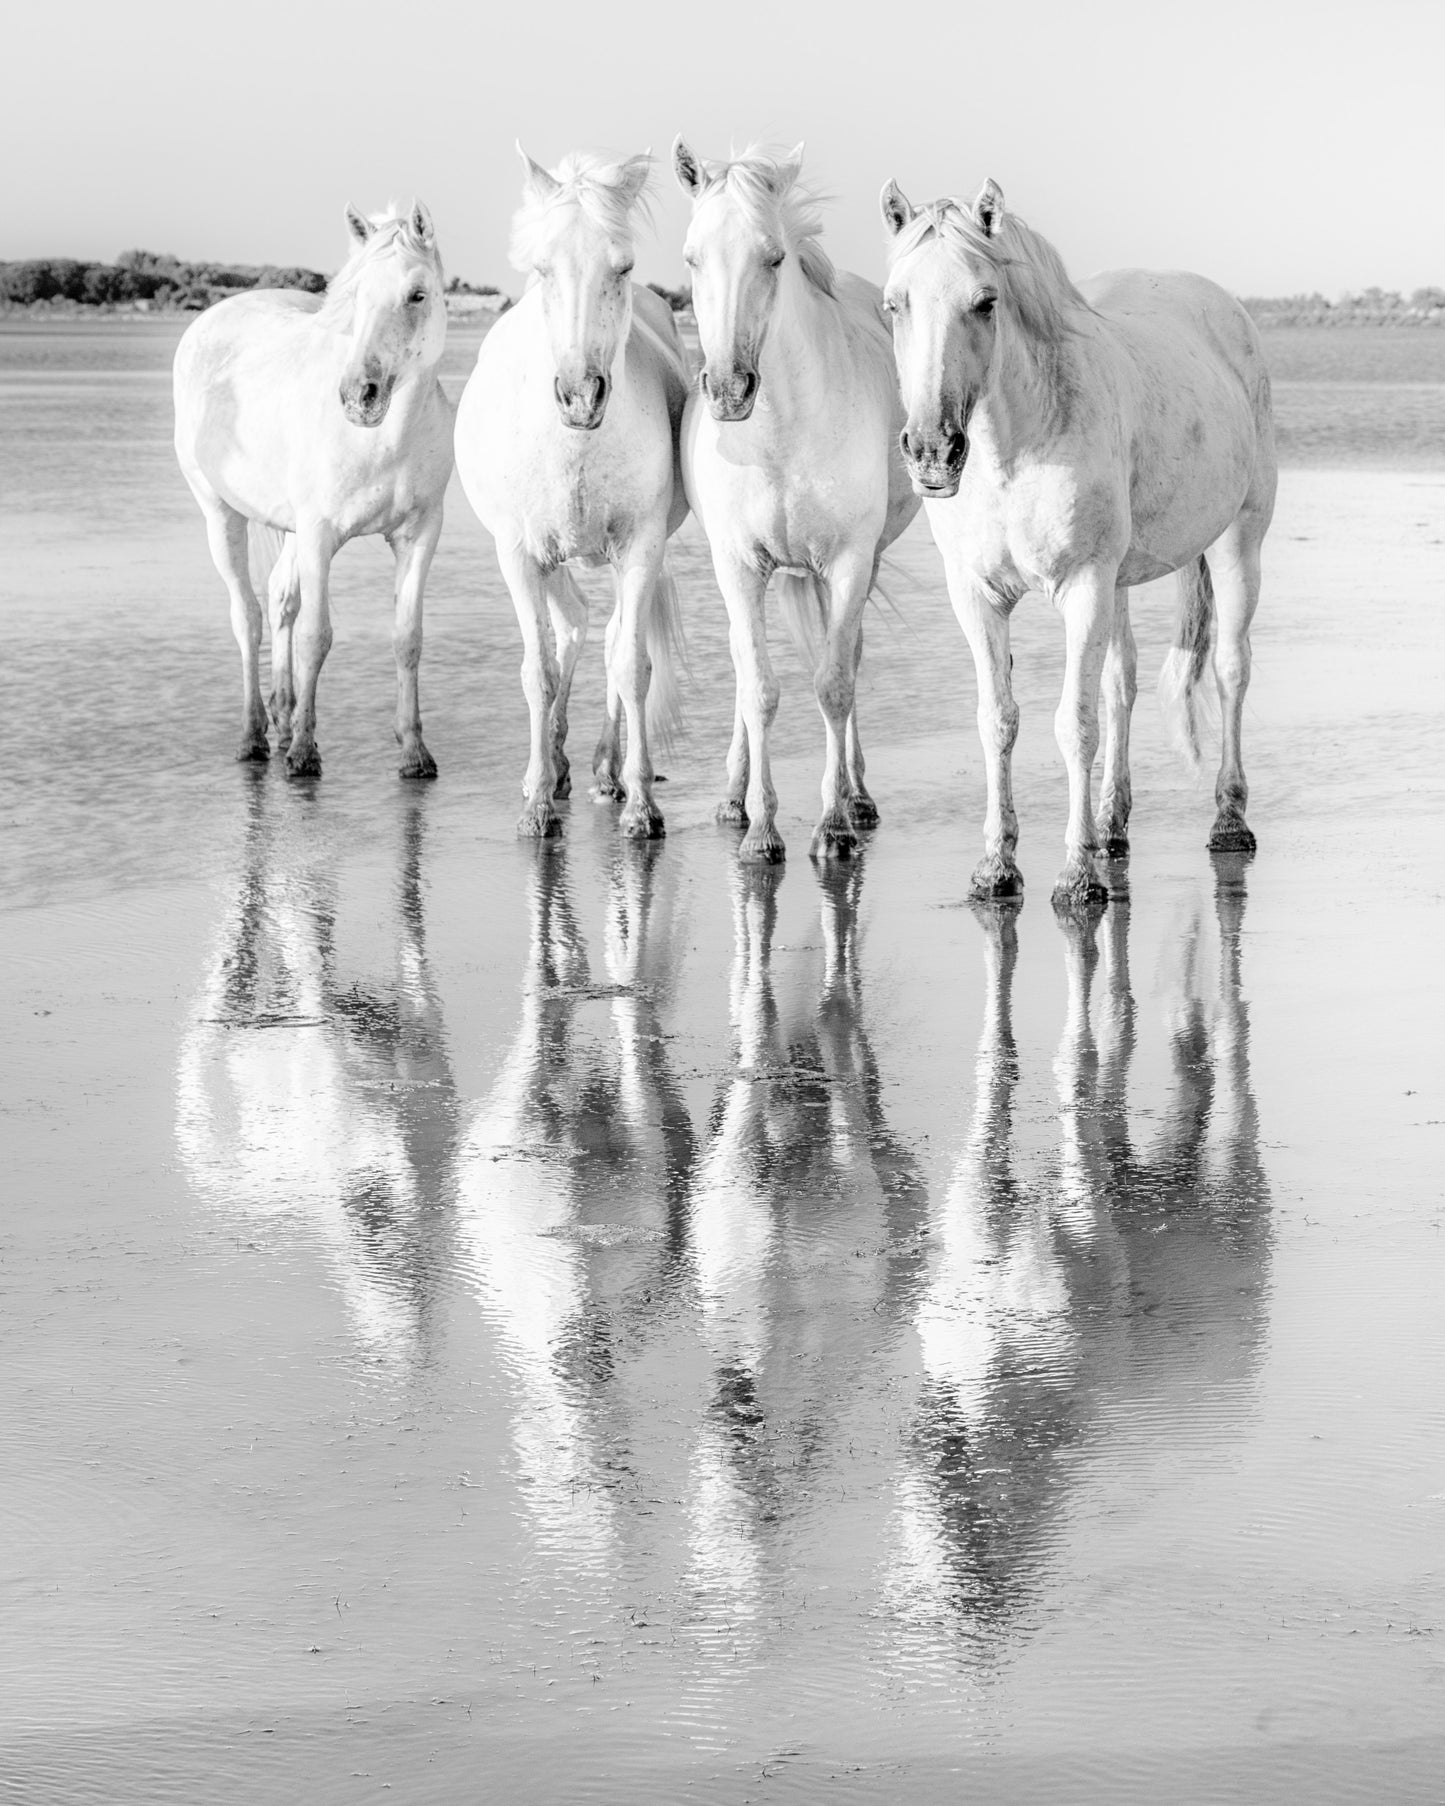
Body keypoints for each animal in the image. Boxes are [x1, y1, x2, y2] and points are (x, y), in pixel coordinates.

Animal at [177, 203, 455, 776]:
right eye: (356, 297)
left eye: (418, 294)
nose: (358, 396)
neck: (381, 441)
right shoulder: (320, 535)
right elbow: (315, 636)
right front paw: (305, 752)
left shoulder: (419, 534)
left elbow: (407, 638)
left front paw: (414, 753)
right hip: (221, 515)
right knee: (248, 618)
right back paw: (254, 736)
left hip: (289, 530)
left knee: (280, 600)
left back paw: (282, 717)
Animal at [460, 148, 689, 837]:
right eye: (542, 269)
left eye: (624, 266)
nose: (581, 396)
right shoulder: (518, 553)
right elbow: (539, 671)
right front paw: (536, 803)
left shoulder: (640, 550)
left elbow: (632, 667)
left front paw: (641, 805)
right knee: (572, 631)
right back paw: (555, 768)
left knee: (605, 637)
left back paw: (605, 770)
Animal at [675, 144, 921, 863]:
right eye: (691, 258)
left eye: (774, 257)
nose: (729, 390)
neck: (779, 433)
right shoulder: (737, 567)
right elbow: (758, 687)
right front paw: (760, 827)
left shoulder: (848, 564)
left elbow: (834, 684)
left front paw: (833, 822)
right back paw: (733, 798)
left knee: (848, 660)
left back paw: (857, 795)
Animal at [881, 177, 1278, 910]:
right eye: (894, 304)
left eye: (985, 301)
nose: (931, 453)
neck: (1015, 448)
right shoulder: (977, 596)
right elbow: (999, 719)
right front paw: (996, 867)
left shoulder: (1083, 586)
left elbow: (1074, 724)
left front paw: (1076, 875)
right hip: (1122, 582)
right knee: (1121, 682)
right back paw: (1110, 826)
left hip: (1239, 541)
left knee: (1230, 669)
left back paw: (1229, 819)